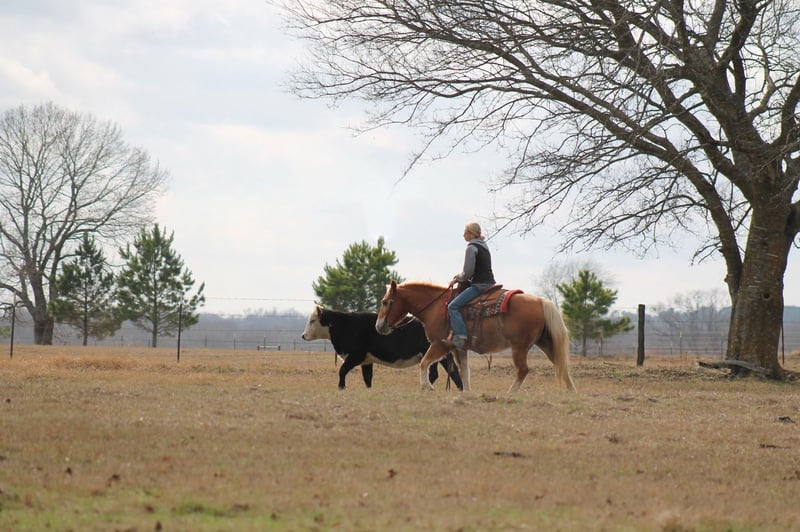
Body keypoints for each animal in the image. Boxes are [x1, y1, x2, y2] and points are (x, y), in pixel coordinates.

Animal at [301, 304, 462, 390]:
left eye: (313, 320)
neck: (345, 324)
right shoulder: (366, 361)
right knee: (449, 372)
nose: (303, 336)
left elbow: (342, 371)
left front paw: (341, 387)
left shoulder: (355, 356)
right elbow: (367, 378)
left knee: (440, 372)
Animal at [375, 280, 576, 394]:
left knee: (523, 370)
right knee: (561, 365)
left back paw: (510, 393)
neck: (437, 307)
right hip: (545, 343)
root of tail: (541, 301)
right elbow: (464, 370)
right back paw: (572, 392)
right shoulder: (459, 349)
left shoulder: (440, 344)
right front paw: (467, 392)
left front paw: (427, 387)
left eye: (385, 302)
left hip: (519, 347)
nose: (378, 326)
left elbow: (424, 363)